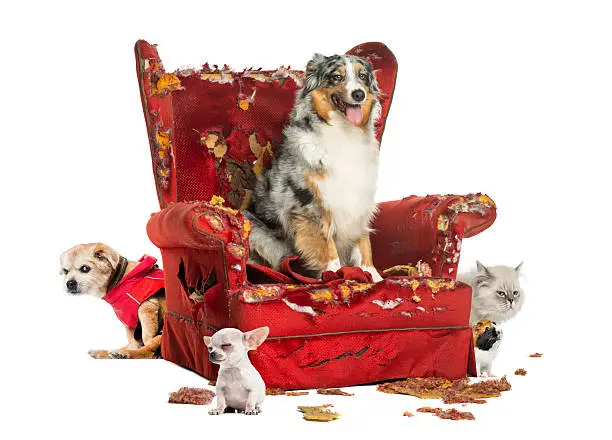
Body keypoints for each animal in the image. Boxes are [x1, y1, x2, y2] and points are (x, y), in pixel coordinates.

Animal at [244, 52, 382, 282]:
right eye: (337, 77)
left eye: (362, 76)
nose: (359, 94)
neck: (344, 133)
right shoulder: (308, 203)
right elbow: (326, 245)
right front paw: (334, 274)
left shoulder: (359, 199)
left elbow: (363, 244)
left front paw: (373, 275)